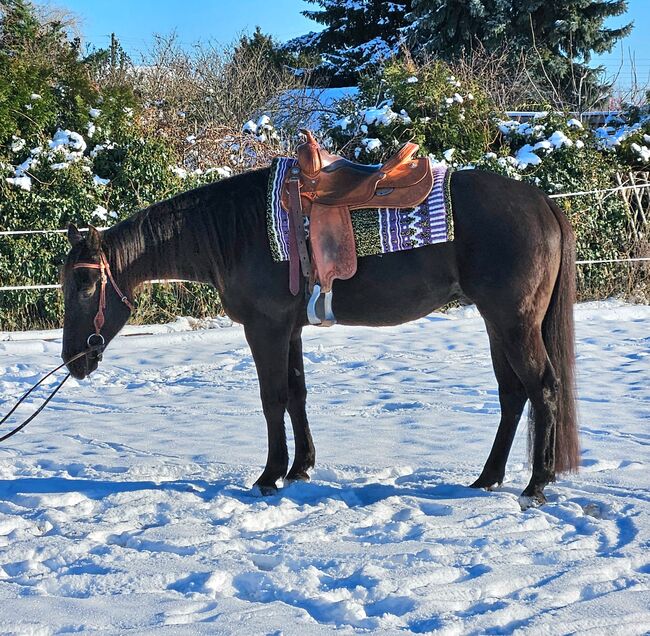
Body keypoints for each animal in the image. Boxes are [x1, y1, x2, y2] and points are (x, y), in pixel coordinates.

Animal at [60, 166, 576, 510]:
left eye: (85, 284)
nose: (74, 361)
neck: (236, 231)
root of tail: (543, 203)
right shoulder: (288, 331)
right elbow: (296, 395)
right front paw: (300, 467)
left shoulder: (265, 328)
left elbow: (272, 399)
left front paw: (270, 475)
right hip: (497, 323)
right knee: (513, 396)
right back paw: (488, 478)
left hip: (513, 322)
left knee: (543, 389)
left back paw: (536, 485)